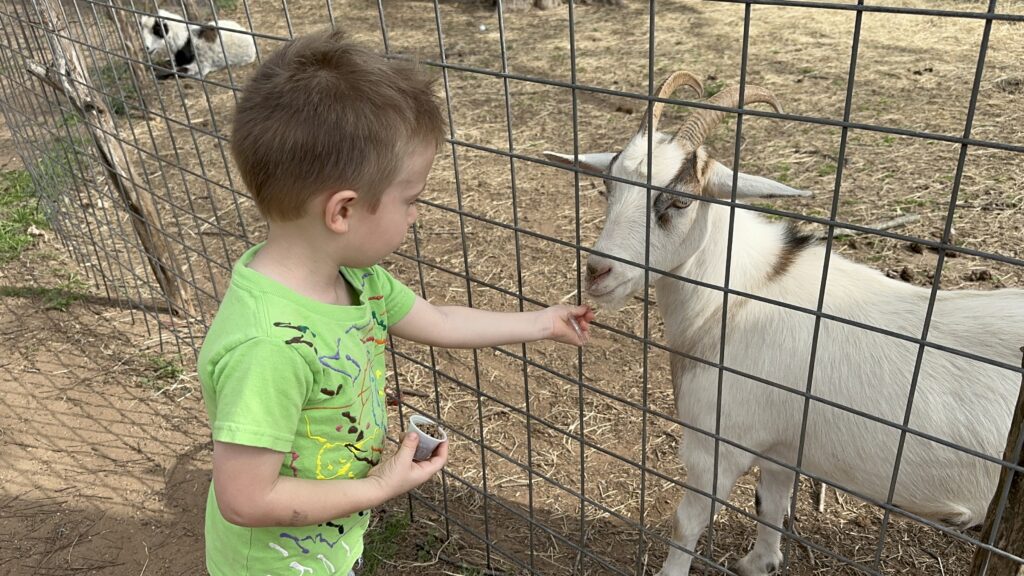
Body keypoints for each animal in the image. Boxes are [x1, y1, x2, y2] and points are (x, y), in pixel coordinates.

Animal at [548, 72, 1024, 573]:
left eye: (679, 202)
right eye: (608, 188)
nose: (598, 272)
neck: (740, 296)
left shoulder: (717, 444)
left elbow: (687, 524)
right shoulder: (781, 448)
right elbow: (771, 503)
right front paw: (759, 563)